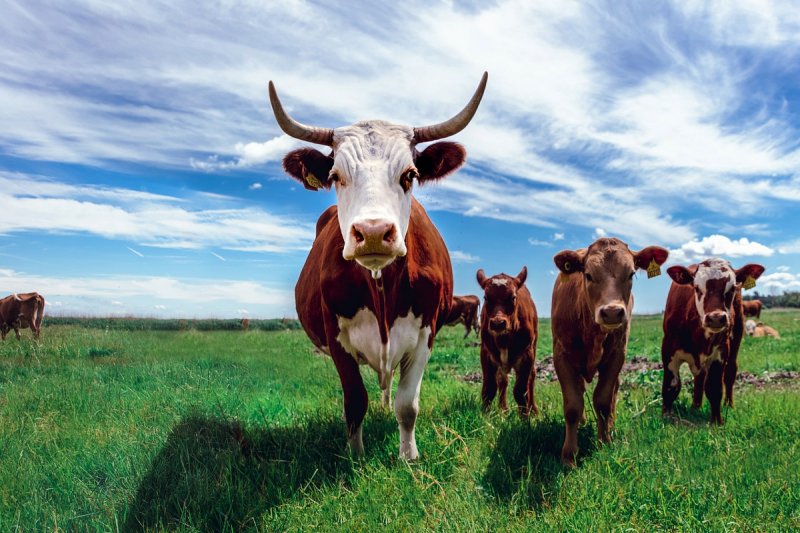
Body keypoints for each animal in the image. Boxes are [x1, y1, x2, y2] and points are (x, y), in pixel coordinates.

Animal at [270, 72, 488, 460]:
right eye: (336, 176)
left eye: (410, 174)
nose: (372, 232)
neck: (382, 287)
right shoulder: (336, 337)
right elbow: (355, 401)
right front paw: (356, 456)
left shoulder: (425, 334)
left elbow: (407, 404)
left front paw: (408, 456)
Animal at [476, 266, 536, 416]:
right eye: (486, 297)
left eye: (513, 297)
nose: (498, 323)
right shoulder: (486, 353)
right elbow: (489, 389)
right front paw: (485, 416)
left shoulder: (527, 355)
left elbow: (521, 391)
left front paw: (525, 418)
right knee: (502, 380)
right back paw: (503, 409)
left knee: (531, 378)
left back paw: (533, 410)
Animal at [552, 237, 668, 466]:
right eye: (588, 274)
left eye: (631, 274)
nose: (612, 312)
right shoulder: (561, 356)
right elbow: (572, 405)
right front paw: (569, 455)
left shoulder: (617, 355)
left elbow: (603, 401)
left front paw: (604, 441)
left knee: (613, 391)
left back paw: (611, 427)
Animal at [660, 258, 764, 424]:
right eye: (697, 288)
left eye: (732, 288)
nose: (715, 318)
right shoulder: (668, 349)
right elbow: (671, 386)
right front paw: (666, 417)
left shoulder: (720, 352)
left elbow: (714, 388)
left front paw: (717, 421)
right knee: (699, 378)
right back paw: (695, 406)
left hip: (736, 337)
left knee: (730, 372)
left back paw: (728, 405)